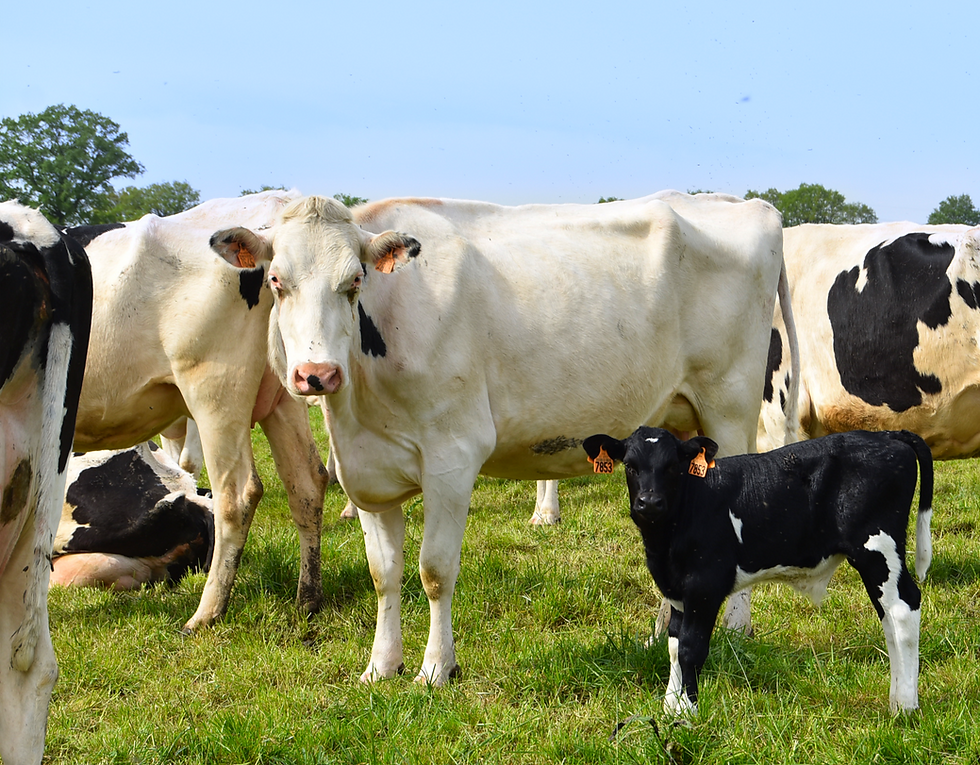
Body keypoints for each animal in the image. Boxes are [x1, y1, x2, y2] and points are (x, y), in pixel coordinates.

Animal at [208, 190, 798, 685]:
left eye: (354, 281)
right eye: (277, 281)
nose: (316, 375)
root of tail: (747, 202)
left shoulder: (452, 456)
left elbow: (434, 571)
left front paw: (435, 669)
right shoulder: (366, 472)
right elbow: (383, 574)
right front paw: (380, 666)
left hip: (729, 409)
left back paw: (735, 630)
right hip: (678, 421)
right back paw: (662, 633)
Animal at [583, 426, 932, 716]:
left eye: (672, 466)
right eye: (630, 465)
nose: (650, 502)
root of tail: (887, 434)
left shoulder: (704, 587)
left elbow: (691, 649)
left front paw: (688, 714)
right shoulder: (676, 590)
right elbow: (673, 646)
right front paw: (670, 706)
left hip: (878, 548)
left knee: (903, 609)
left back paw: (906, 705)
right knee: (888, 618)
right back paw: (895, 700)